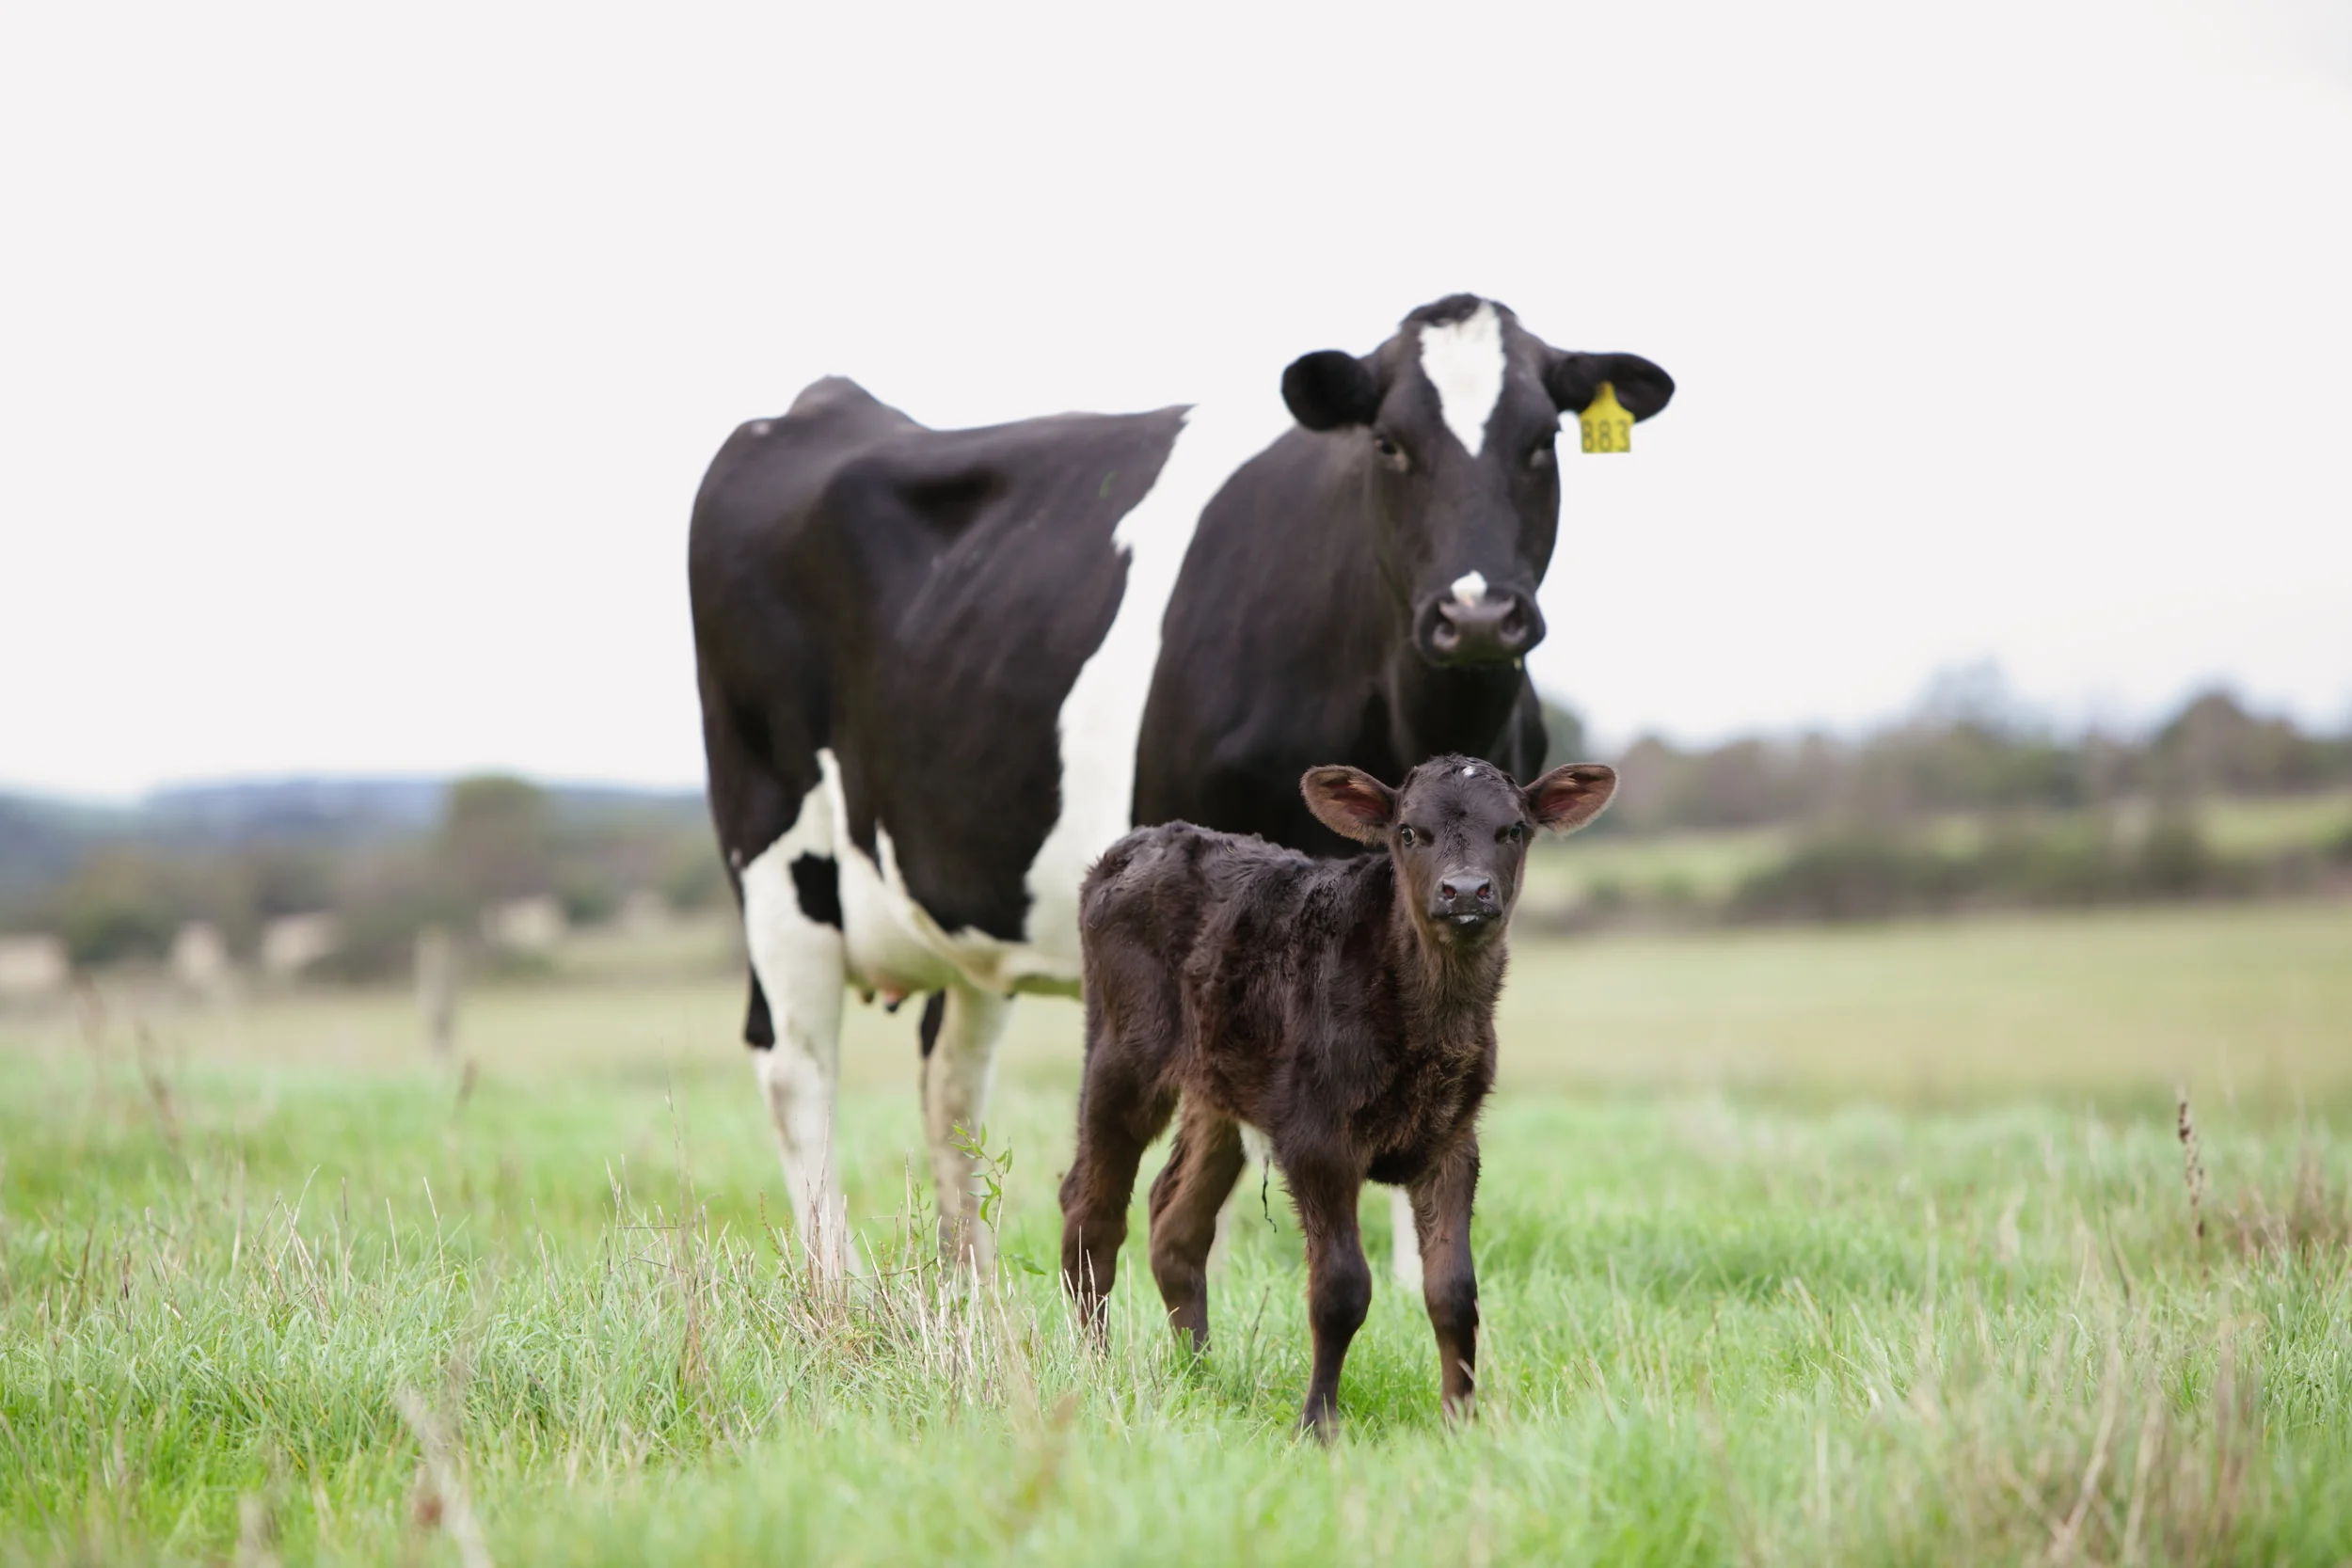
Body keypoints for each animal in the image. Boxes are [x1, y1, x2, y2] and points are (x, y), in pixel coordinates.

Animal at [687, 294, 1671, 1275]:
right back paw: (838, 1285)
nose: (1475, 613)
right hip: (774, 848)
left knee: (950, 1075)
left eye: (1541, 440)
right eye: (1389, 443)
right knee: (797, 1063)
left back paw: (975, 1287)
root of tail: (822, 402)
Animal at [1060, 756, 1617, 1433]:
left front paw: (1460, 1424)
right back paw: (1095, 1369)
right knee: (1091, 1212)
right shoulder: (1316, 1139)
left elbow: (1455, 1291)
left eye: (1512, 829)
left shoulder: (1453, 1140)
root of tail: (1139, 841)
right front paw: (1317, 1424)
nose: (1464, 891)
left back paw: (1200, 1373)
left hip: (1222, 1085)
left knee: (1176, 1223)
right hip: (1122, 1056)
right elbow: (1342, 1289)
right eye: (1409, 831)